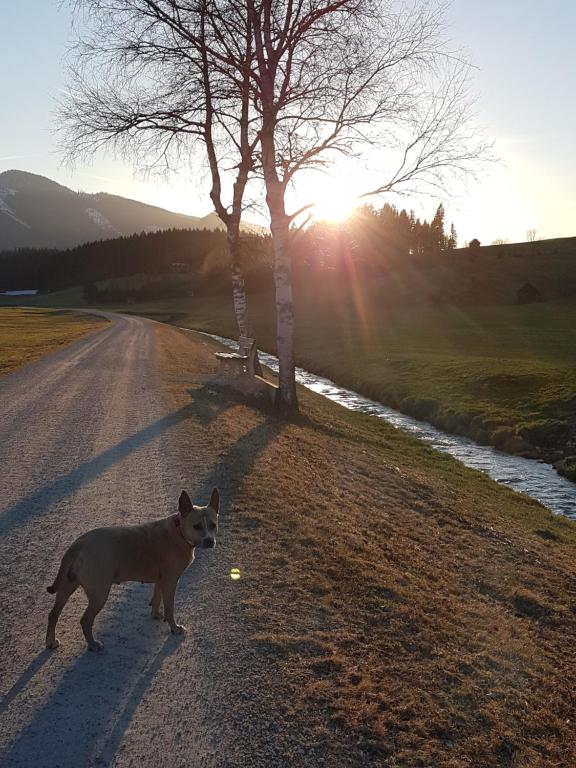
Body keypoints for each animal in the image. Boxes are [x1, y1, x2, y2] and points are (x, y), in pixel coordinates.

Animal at [45, 488, 218, 652]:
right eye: (196, 526)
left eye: (213, 525)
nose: (209, 541)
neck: (179, 531)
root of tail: (78, 544)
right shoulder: (170, 582)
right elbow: (170, 608)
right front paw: (174, 628)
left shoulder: (161, 581)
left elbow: (157, 598)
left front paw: (156, 614)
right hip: (99, 594)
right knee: (85, 620)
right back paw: (93, 644)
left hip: (67, 586)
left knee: (53, 614)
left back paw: (50, 641)